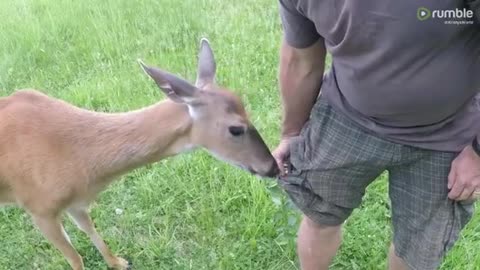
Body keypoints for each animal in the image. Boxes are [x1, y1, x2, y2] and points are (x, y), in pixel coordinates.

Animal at [0, 38, 280, 270]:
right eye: (236, 128)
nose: (273, 167)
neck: (77, 158)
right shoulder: (38, 207)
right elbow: (75, 258)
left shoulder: (76, 202)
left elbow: (91, 230)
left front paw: (118, 262)